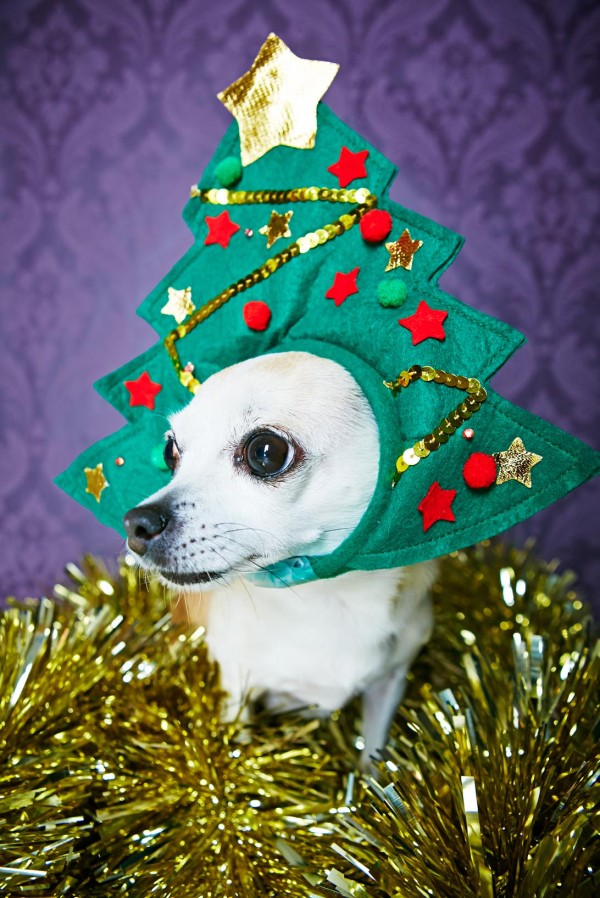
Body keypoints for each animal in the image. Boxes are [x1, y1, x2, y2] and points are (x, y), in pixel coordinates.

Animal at [124, 352, 434, 764]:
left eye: (266, 452)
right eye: (170, 452)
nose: (136, 524)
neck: (329, 600)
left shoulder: (390, 684)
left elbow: (373, 753)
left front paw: (372, 780)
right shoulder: (237, 687)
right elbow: (238, 752)